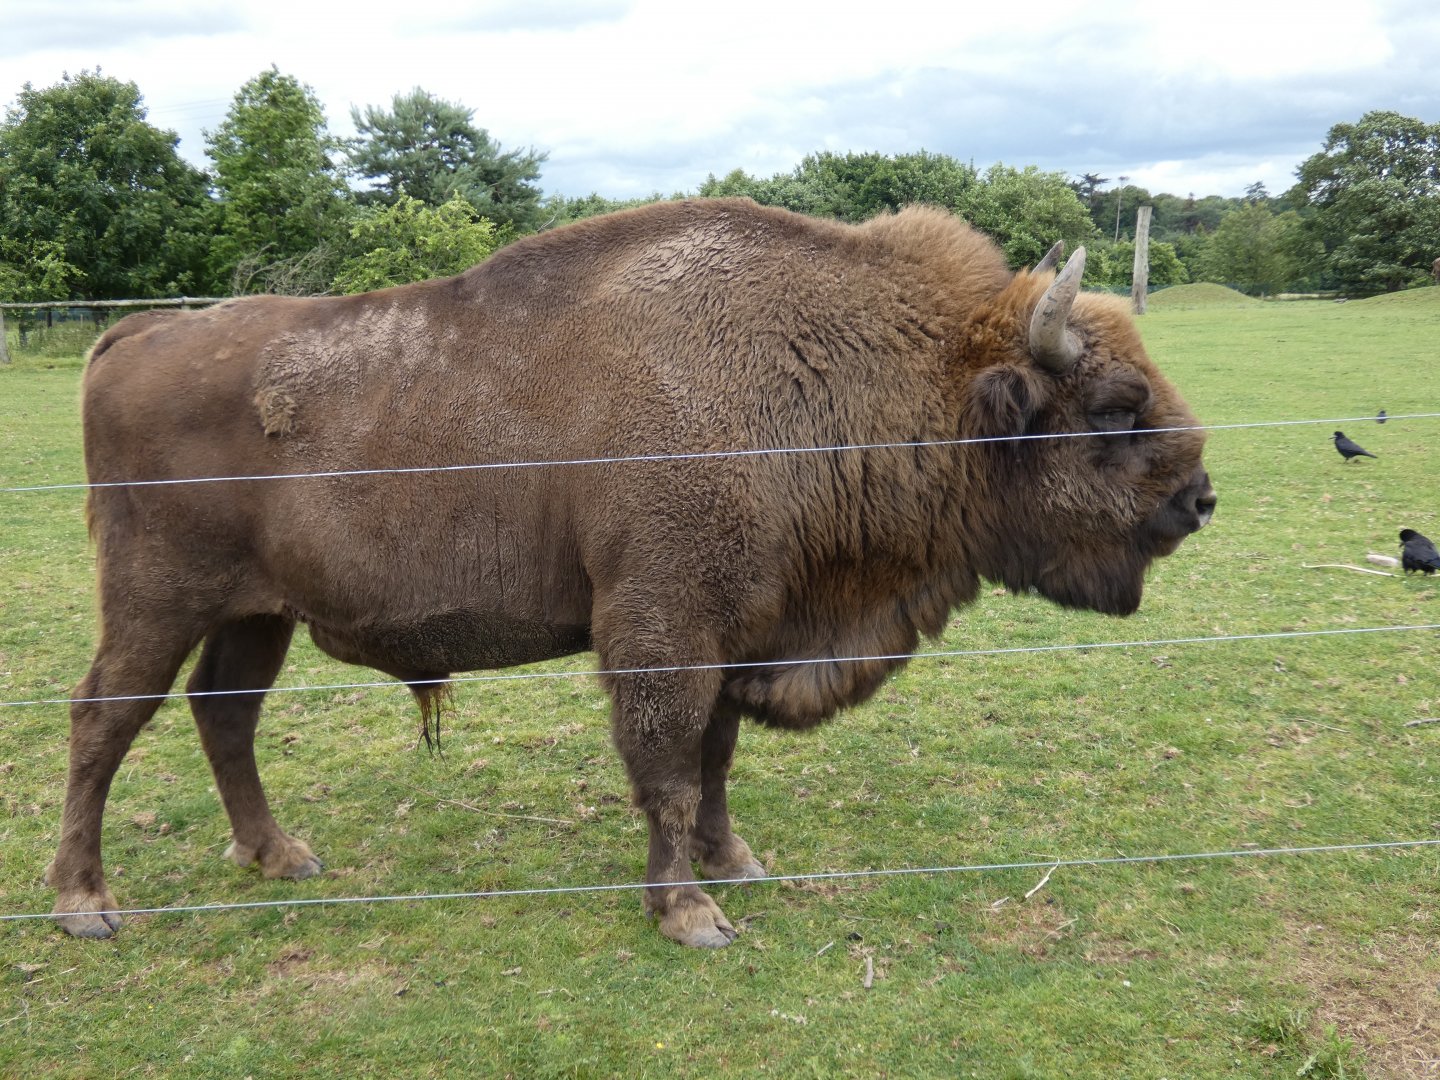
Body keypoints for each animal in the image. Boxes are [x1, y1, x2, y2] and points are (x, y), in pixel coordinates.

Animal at [49, 198, 1215, 946]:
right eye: (1113, 408)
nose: (1199, 500)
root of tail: (133, 336)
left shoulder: (740, 629)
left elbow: (715, 759)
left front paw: (733, 864)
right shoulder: (664, 630)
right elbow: (665, 765)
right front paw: (690, 913)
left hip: (257, 613)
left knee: (224, 713)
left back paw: (281, 857)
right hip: (157, 600)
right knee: (106, 716)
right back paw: (84, 906)